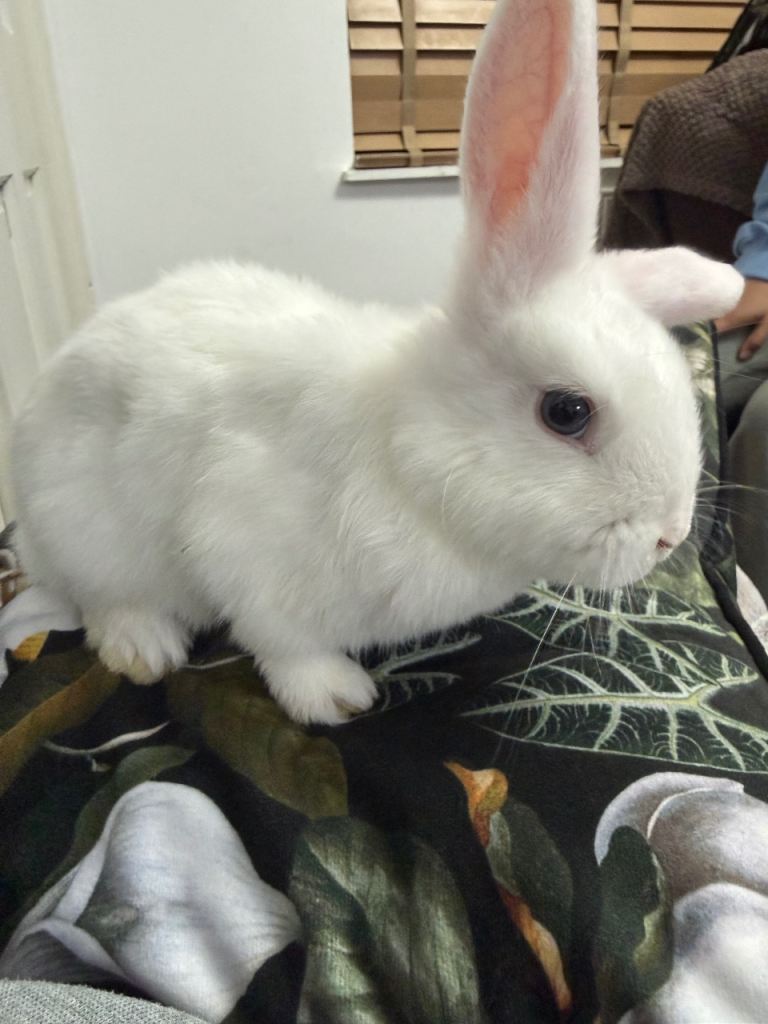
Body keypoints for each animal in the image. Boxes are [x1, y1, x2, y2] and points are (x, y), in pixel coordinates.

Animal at [10, 0, 743, 725]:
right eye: (567, 412)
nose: (672, 535)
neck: (407, 454)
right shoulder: (243, 547)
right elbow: (283, 642)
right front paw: (335, 697)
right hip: (90, 530)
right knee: (104, 596)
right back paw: (144, 648)